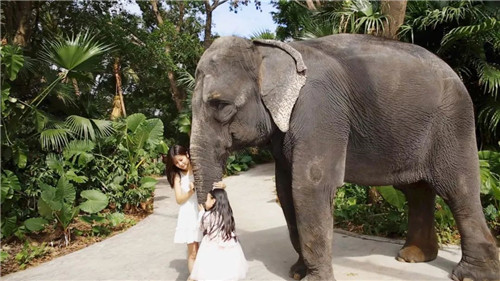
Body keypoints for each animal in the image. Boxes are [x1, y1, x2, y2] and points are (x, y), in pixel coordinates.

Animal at [188, 33, 500, 280]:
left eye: (221, 106)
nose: (219, 194)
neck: (270, 50)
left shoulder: (319, 111)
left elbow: (309, 187)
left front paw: (312, 279)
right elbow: (285, 190)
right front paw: (297, 273)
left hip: (453, 122)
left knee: (457, 189)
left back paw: (469, 275)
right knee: (415, 190)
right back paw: (413, 257)